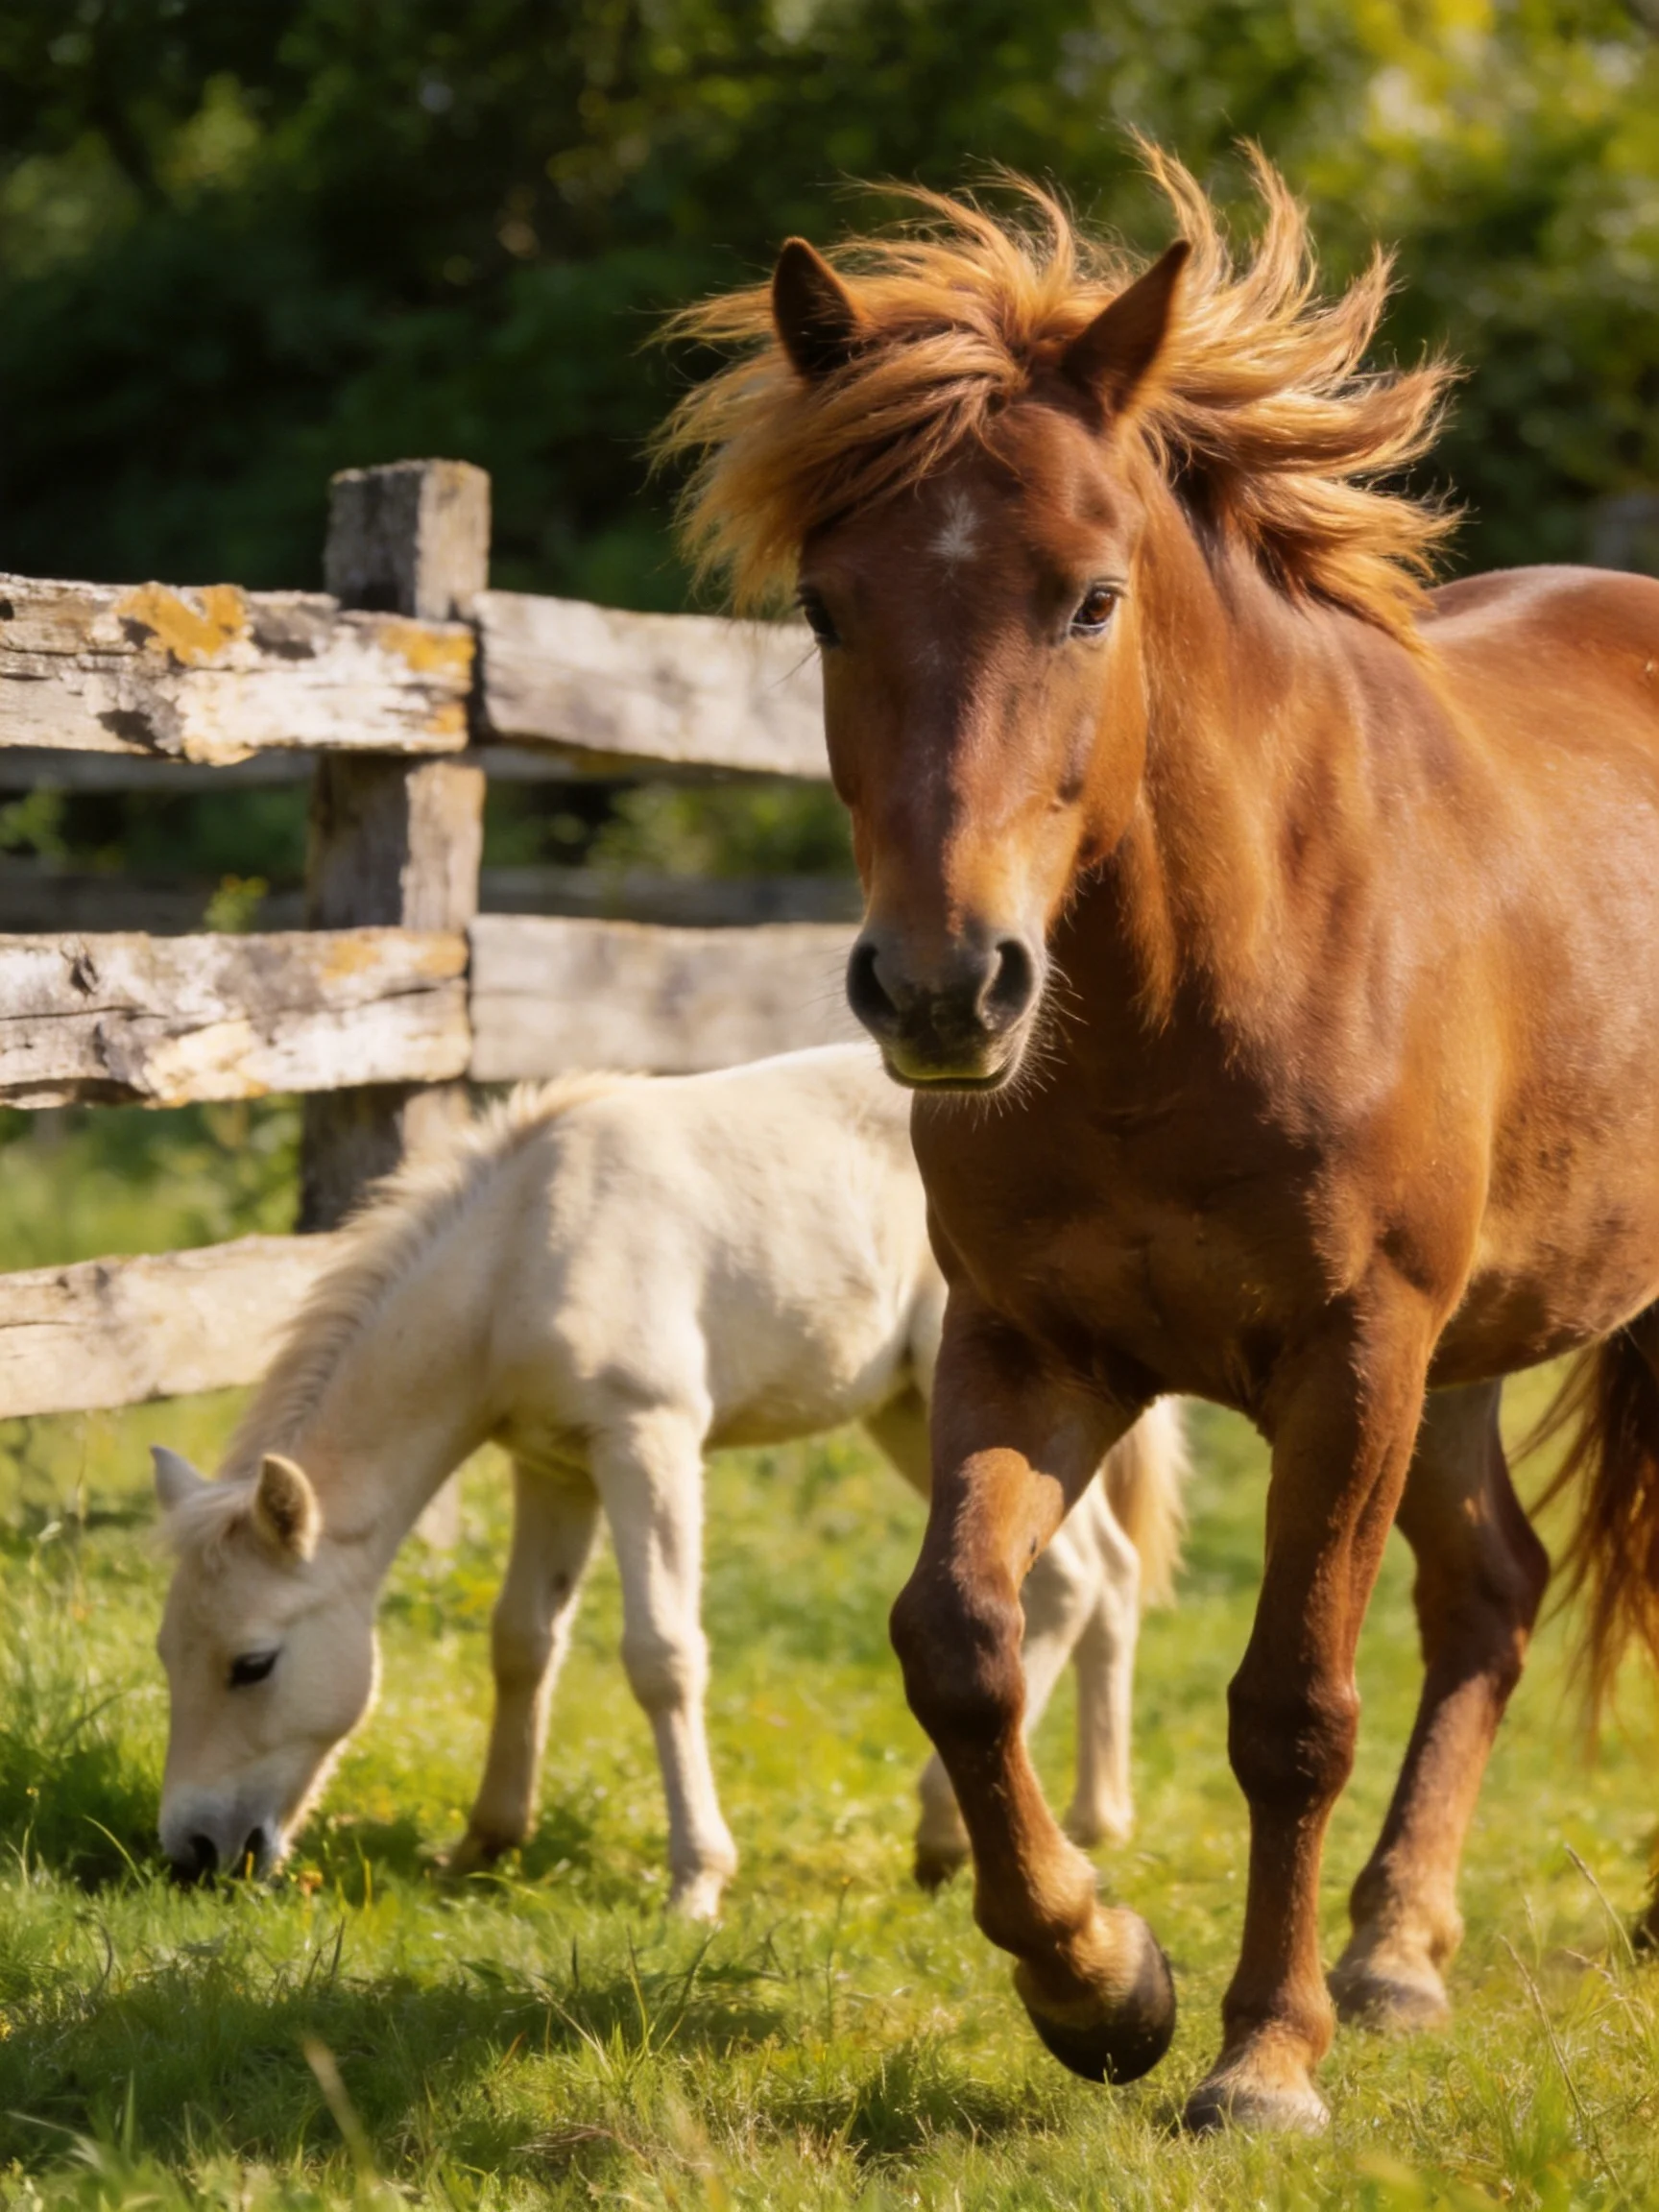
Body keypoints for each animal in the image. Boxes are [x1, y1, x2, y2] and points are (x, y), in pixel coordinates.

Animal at [151, 1045, 1187, 1919]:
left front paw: (697, 1880)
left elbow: (662, 1654)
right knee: (1108, 1574)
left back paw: (952, 1831)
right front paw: (484, 1844)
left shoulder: (649, 1437)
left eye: (253, 1663)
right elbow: (522, 1641)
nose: (192, 1856)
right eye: (166, 1653)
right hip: (909, 1409)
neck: (522, 1248)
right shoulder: (551, 1465)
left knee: (1070, 1583)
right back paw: (1093, 1821)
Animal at [660, 147, 1659, 2129]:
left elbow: (1289, 1705)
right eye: (823, 606)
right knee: (1491, 1593)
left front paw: (1264, 2049)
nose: (943, 983)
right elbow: (958, 1641)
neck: (1185, 990)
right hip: (1459, 1356)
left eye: (1090, 598)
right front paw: (1097, 1973)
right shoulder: (1037, 1345)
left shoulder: (1348, 1355)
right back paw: (1397, 1949)